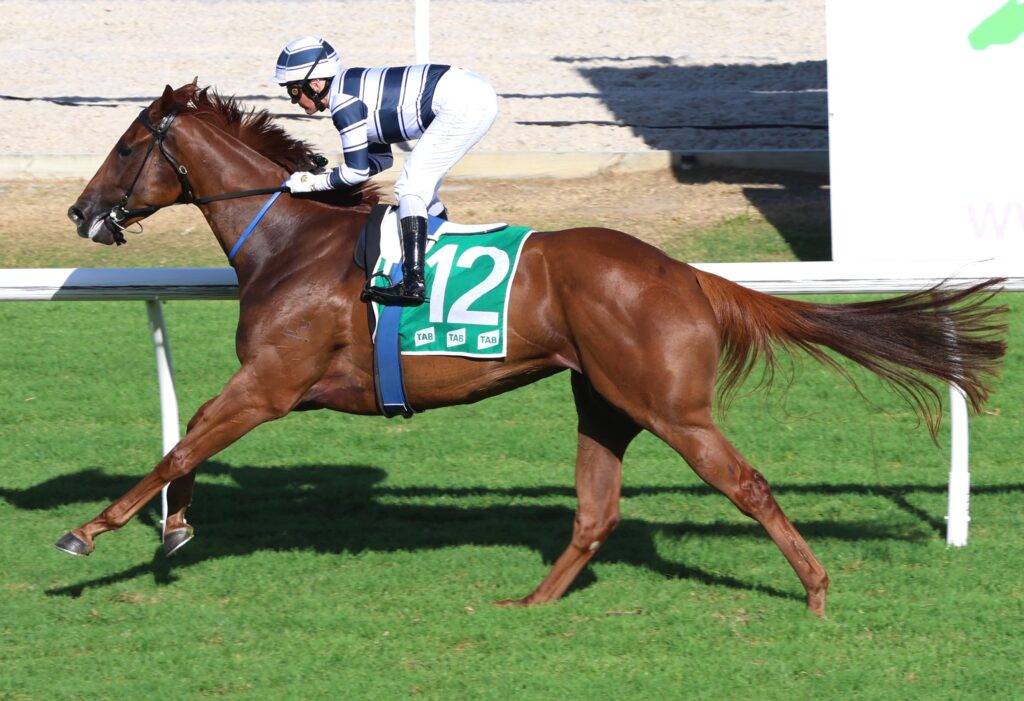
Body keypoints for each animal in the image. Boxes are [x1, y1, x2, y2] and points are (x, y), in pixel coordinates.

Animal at [63, 82, 1007, 617]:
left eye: (125, 145)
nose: (81, 212)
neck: (291, 242)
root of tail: (687, 273)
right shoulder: (264, 384)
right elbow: (186, 443)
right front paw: (173, 528)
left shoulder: (270, 382)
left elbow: (178, 445)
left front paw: (89, 532)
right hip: (606, 401)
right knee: (596, 511)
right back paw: (534, 600)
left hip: (670, 407)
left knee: (746, 483)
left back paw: (814, 590)